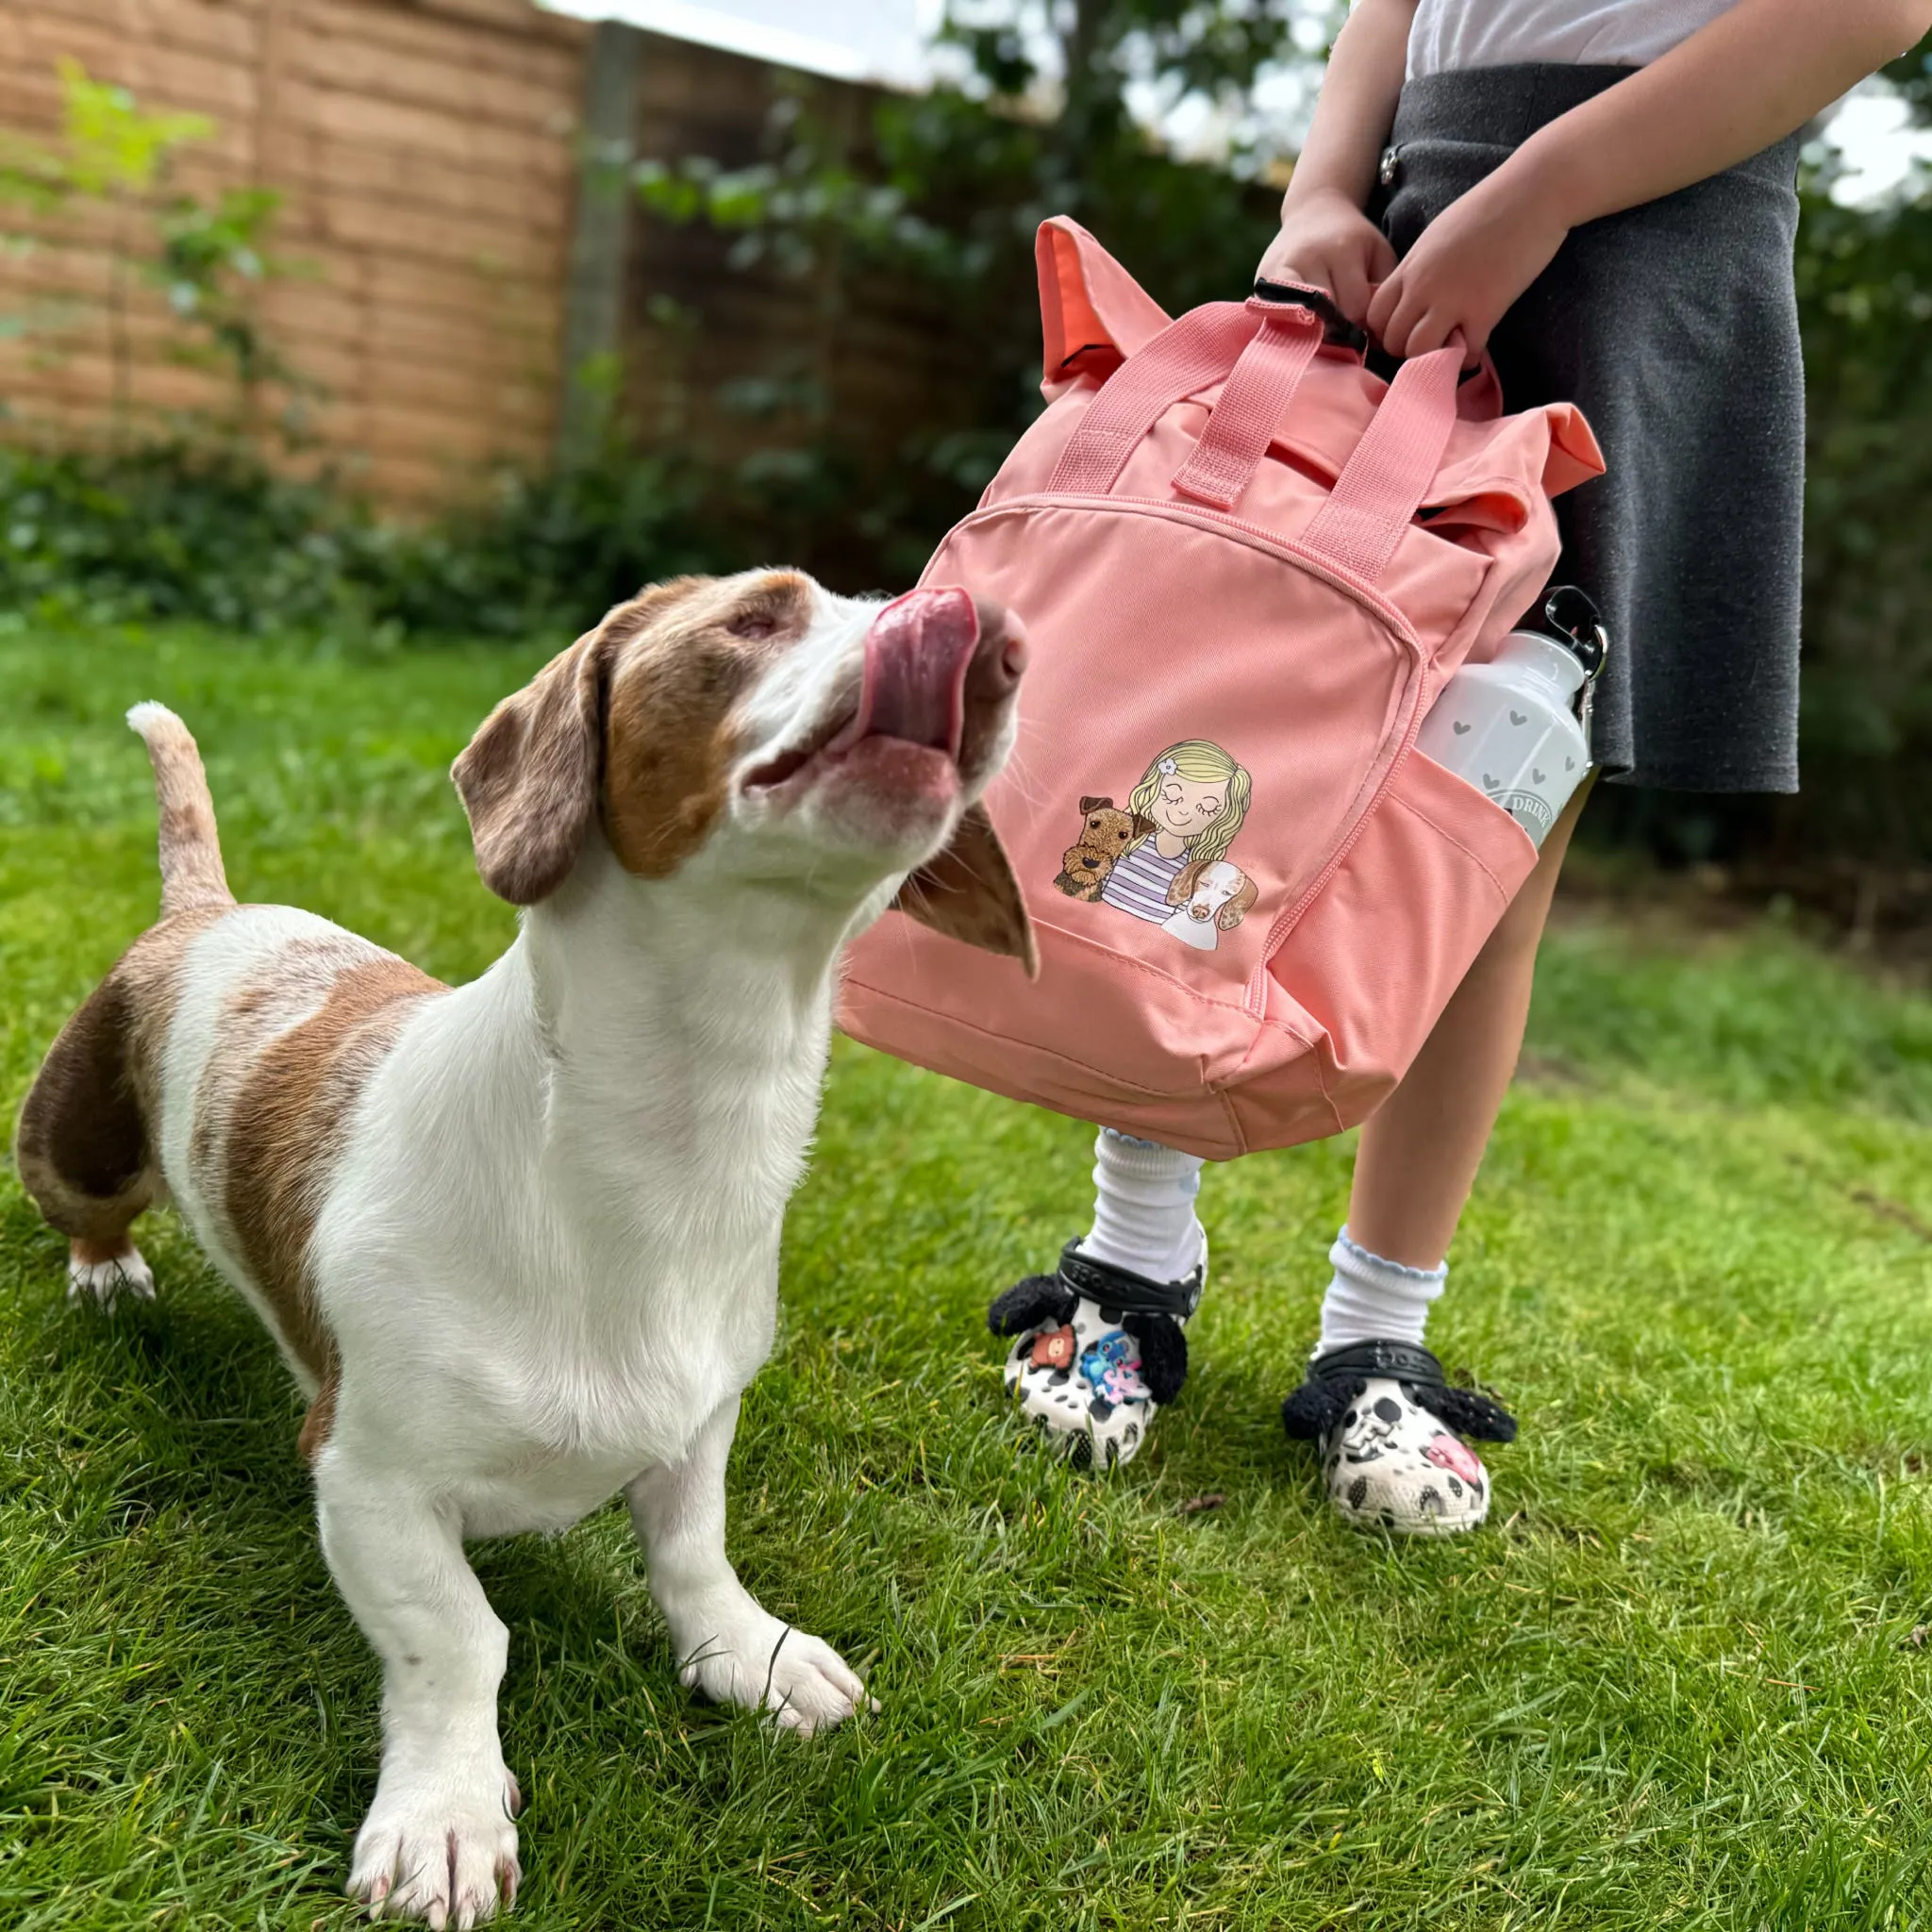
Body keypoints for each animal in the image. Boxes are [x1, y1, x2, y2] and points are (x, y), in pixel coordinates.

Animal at [15, 564, 1035, 1924]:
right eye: (756, 614)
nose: (990, 626)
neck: (661, 1164)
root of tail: (210, 914)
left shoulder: (700, 1423)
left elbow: (692, 1549)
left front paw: (752, 1652)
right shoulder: (367, 1476)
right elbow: (458, 1637)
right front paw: (444, 1814)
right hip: (75, 1145)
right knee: (87, 1208)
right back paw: (106, 1271)